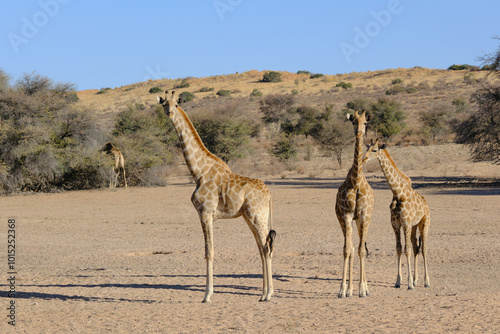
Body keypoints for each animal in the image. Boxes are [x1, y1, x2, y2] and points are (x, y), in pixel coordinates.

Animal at [157, 89, 278, 302]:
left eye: (176, 104)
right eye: (164, 104)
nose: (169, 113)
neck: (198, 172)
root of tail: (269, 194)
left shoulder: (205, 213)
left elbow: (209, 251)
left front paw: (207, 295)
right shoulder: (206, 214)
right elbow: (209, 251)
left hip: (258, 216)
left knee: (266, 248)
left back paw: (269, 293)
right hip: (249, 218)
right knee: (261, 247)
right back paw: (263, 293)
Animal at [364, 138, 430, 290]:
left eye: (374, 150)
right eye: (366, 148)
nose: (363, 158)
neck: (397, 193)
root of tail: (426, 204)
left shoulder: (405, 223)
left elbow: (407, 250)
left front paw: (409, 283)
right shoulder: (395, 224)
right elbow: (399, 249)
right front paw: (399, 281)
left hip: (424, 223)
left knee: (423, 248)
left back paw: (426, 281)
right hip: (414, 226)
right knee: (416, 247)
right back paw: (417, 280)